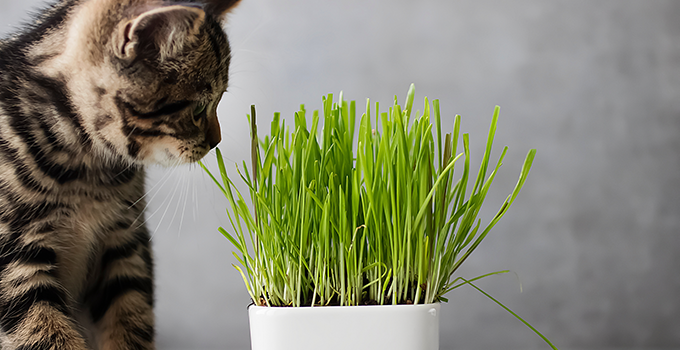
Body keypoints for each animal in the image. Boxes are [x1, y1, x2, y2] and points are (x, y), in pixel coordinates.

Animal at [0, 0, 242, 348]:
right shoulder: (15, 255)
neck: (87, 169)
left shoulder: (126, 243)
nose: (216, 140)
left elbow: (132, 320)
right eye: (198, 108)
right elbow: (44, 332)